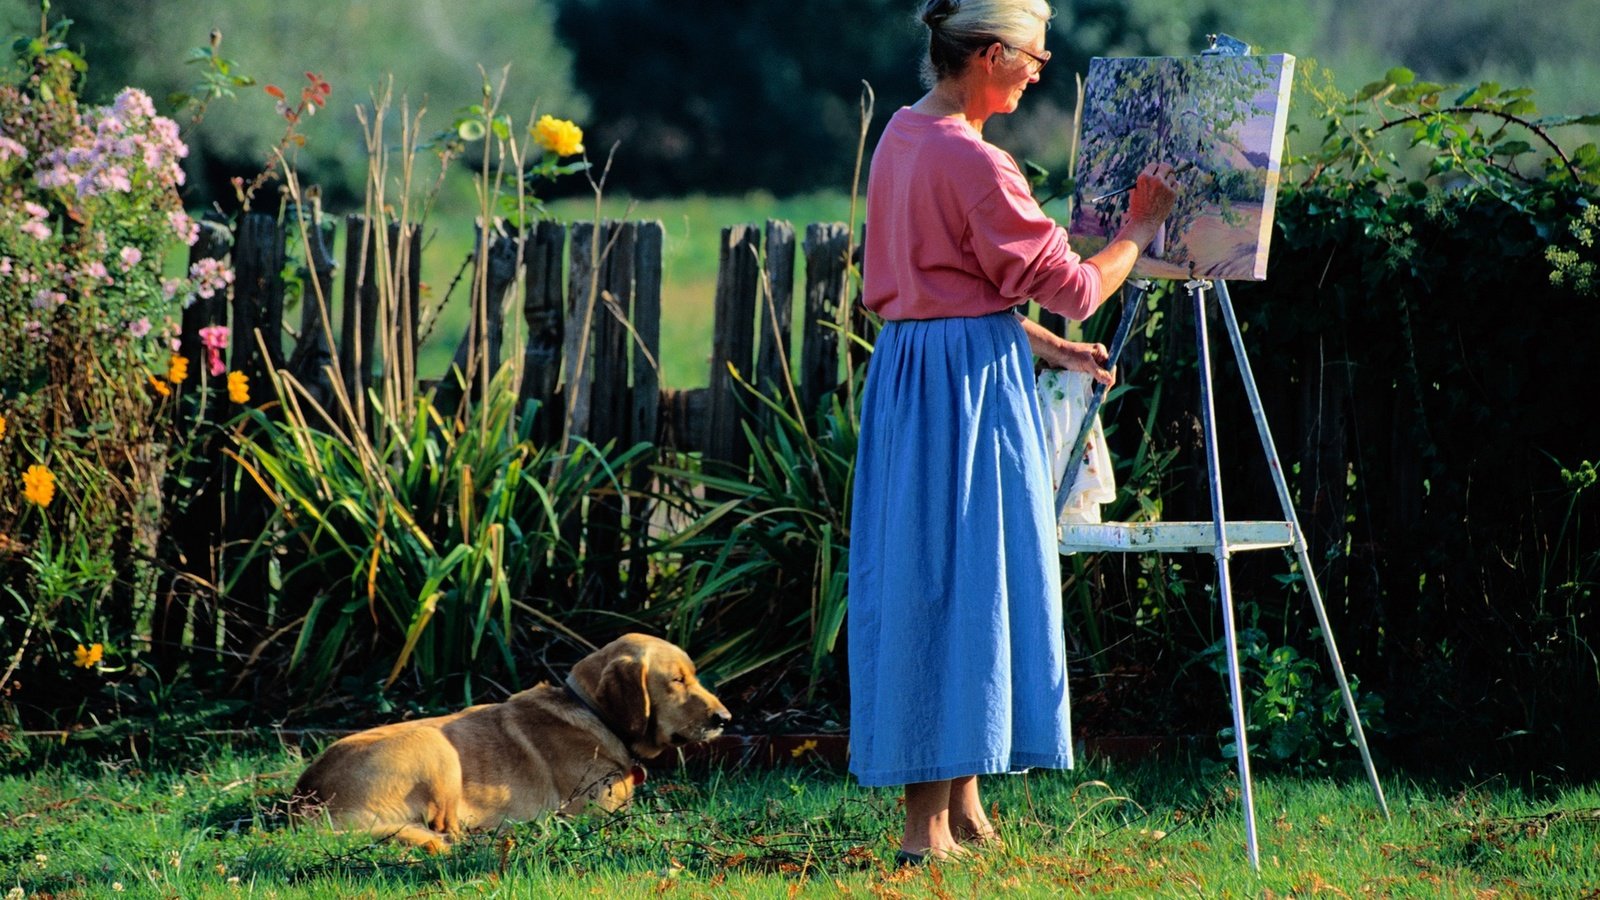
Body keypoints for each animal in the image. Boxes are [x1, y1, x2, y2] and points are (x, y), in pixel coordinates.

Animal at [289, 630, 732, 845]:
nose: (725, 718)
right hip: (436, 747)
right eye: (677, 680)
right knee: (447, 829)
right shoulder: (595, 814)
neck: (593, 714)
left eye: (692, 675)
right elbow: (669, 815)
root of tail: (306, 804)